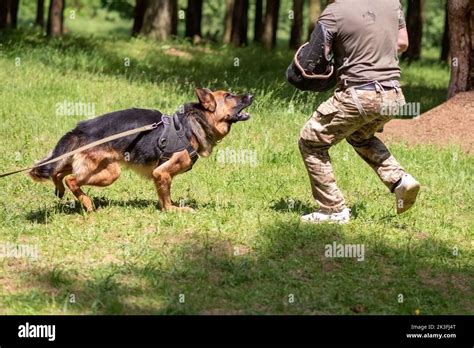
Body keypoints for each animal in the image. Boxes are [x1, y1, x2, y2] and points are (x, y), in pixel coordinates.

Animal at [28, 88, 254, 211]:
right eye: (229, 96)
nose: (251, 95)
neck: (194, 122)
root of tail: (81, 128)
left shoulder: (162, 176)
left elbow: (166, 194)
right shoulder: (161, 173)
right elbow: (166, 199)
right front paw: (172, 210)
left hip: (86, 163)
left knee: (58, 171)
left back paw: (60, 189)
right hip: (110, 172)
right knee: (71, 179)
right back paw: (87, 203)